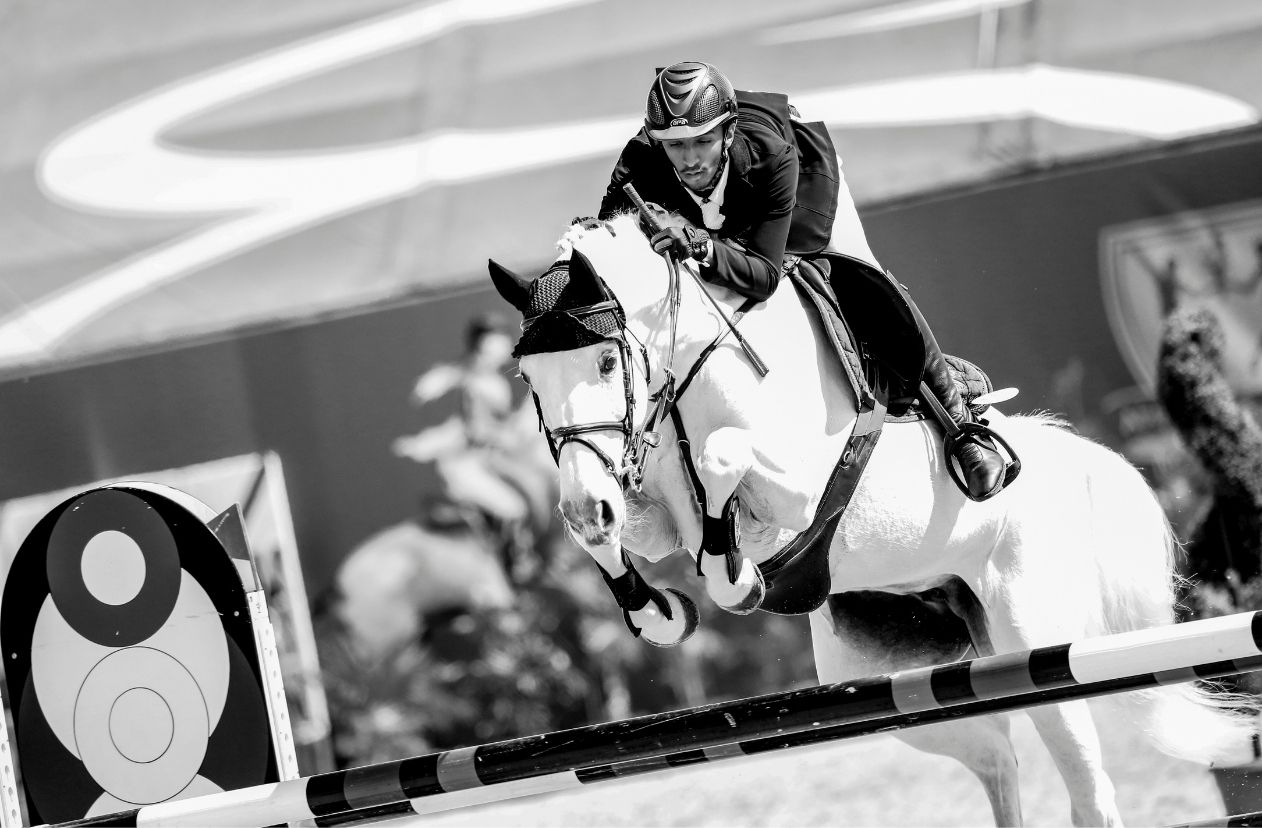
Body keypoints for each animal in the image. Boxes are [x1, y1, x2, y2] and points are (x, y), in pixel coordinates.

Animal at [486, 211, 1254, 826]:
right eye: (528, 380)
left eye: (605, 360)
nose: (587, 500)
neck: (687, 376)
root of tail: (1061, 463)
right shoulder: (643, 506)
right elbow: (621, 533)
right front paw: (656, 609)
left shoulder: (796, 489)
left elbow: (724, 465)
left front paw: (735, 572)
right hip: (921, 691)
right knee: (997, 760)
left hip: (1034, 641)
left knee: (1089, 794)